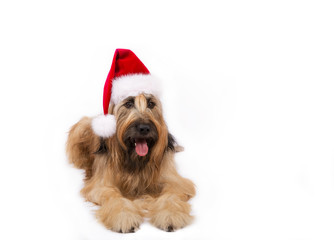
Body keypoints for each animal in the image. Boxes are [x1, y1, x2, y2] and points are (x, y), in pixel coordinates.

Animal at [66, 48, 196, 232]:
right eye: (128, 104)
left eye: (151, 103)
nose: (144, 128)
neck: (135, 160)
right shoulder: (102, 185)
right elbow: (113, 195)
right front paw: (124, 217)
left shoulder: (174, 180)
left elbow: (171, 195)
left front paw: (170, 215)